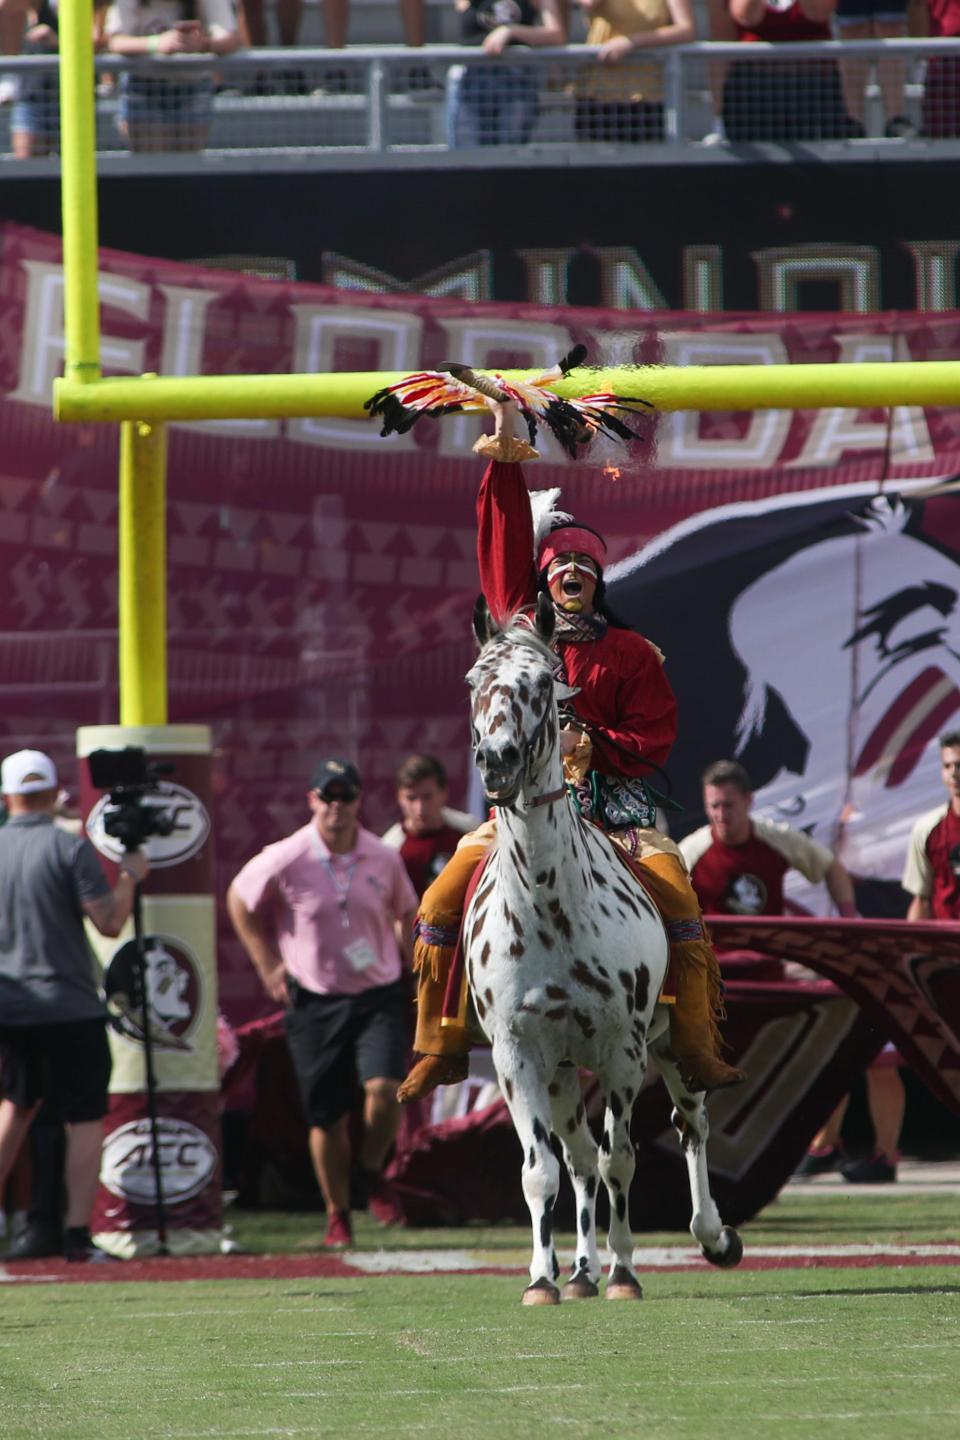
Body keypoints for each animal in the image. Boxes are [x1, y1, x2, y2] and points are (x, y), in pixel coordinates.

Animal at [466, 593, 742, 1307]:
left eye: (542, 683)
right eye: (475, 681)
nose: (498, 760)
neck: (551, 910)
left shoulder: (624, 1048)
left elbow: (624, 1158)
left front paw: (624, 1271)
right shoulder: (518, 1053)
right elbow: (542, 1170)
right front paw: (544, 1277)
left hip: (671, 1046)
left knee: (691, 1125)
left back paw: (710, 1236)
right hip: (563, 1071)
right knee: (579, 1157)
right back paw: (581, 1269)